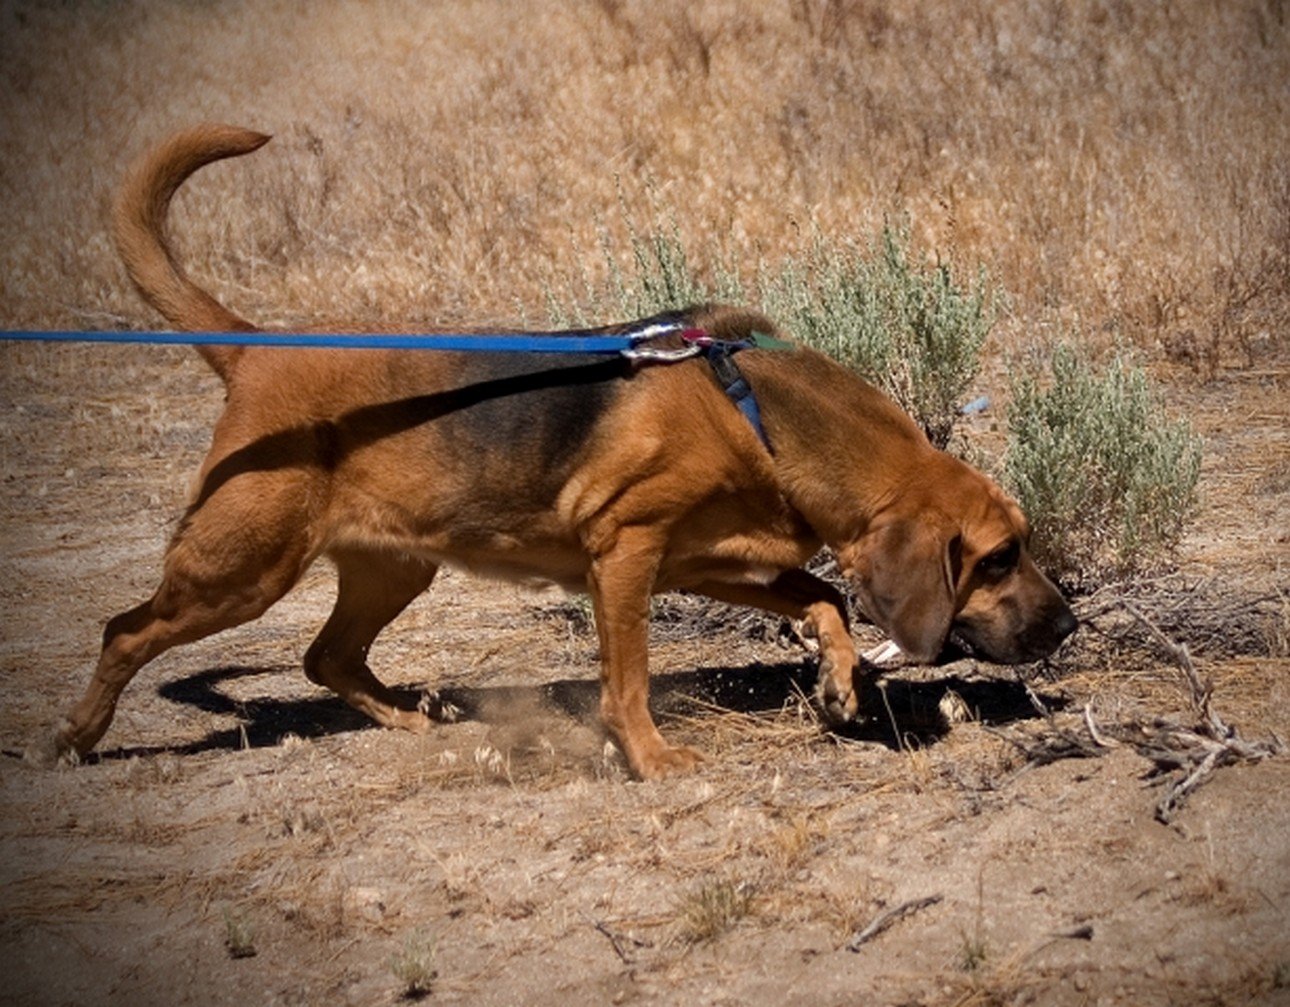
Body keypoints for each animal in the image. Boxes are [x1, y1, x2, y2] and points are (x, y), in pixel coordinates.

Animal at [35, 123, 1073, 778]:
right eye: (997, 558)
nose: (1066, 627)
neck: (754, 413)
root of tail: (254, 350)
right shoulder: (628, 556)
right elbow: (629, 682)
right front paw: (650, 761)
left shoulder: (712, 562)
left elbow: (823, 597)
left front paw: (839, 680)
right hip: (240, 570)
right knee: (125, 630)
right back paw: (77, 737)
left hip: (391, 567)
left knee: (326, 657)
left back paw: (405, 718)